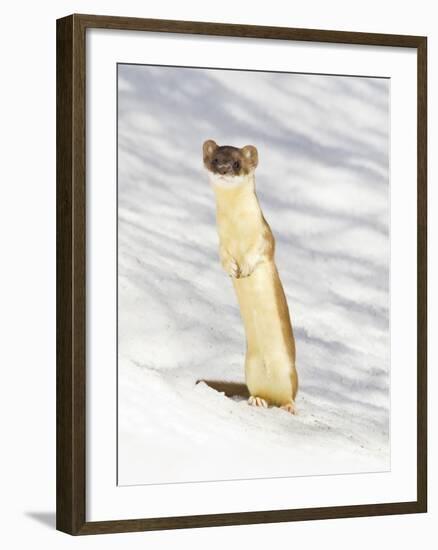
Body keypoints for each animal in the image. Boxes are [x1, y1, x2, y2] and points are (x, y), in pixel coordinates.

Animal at [204, 139, 300, 414]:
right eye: (215, 159)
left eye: (237, 163)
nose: (224, 169)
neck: (237, 229)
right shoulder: (221, 242)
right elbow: (222, 256)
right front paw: (231, 269)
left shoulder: (265, 237)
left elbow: (258, 252)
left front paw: (245, 267)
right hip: (250, 367)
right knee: (261, 393)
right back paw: (257, 400)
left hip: (290, 372)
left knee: (289, 395)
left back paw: (288, 406)